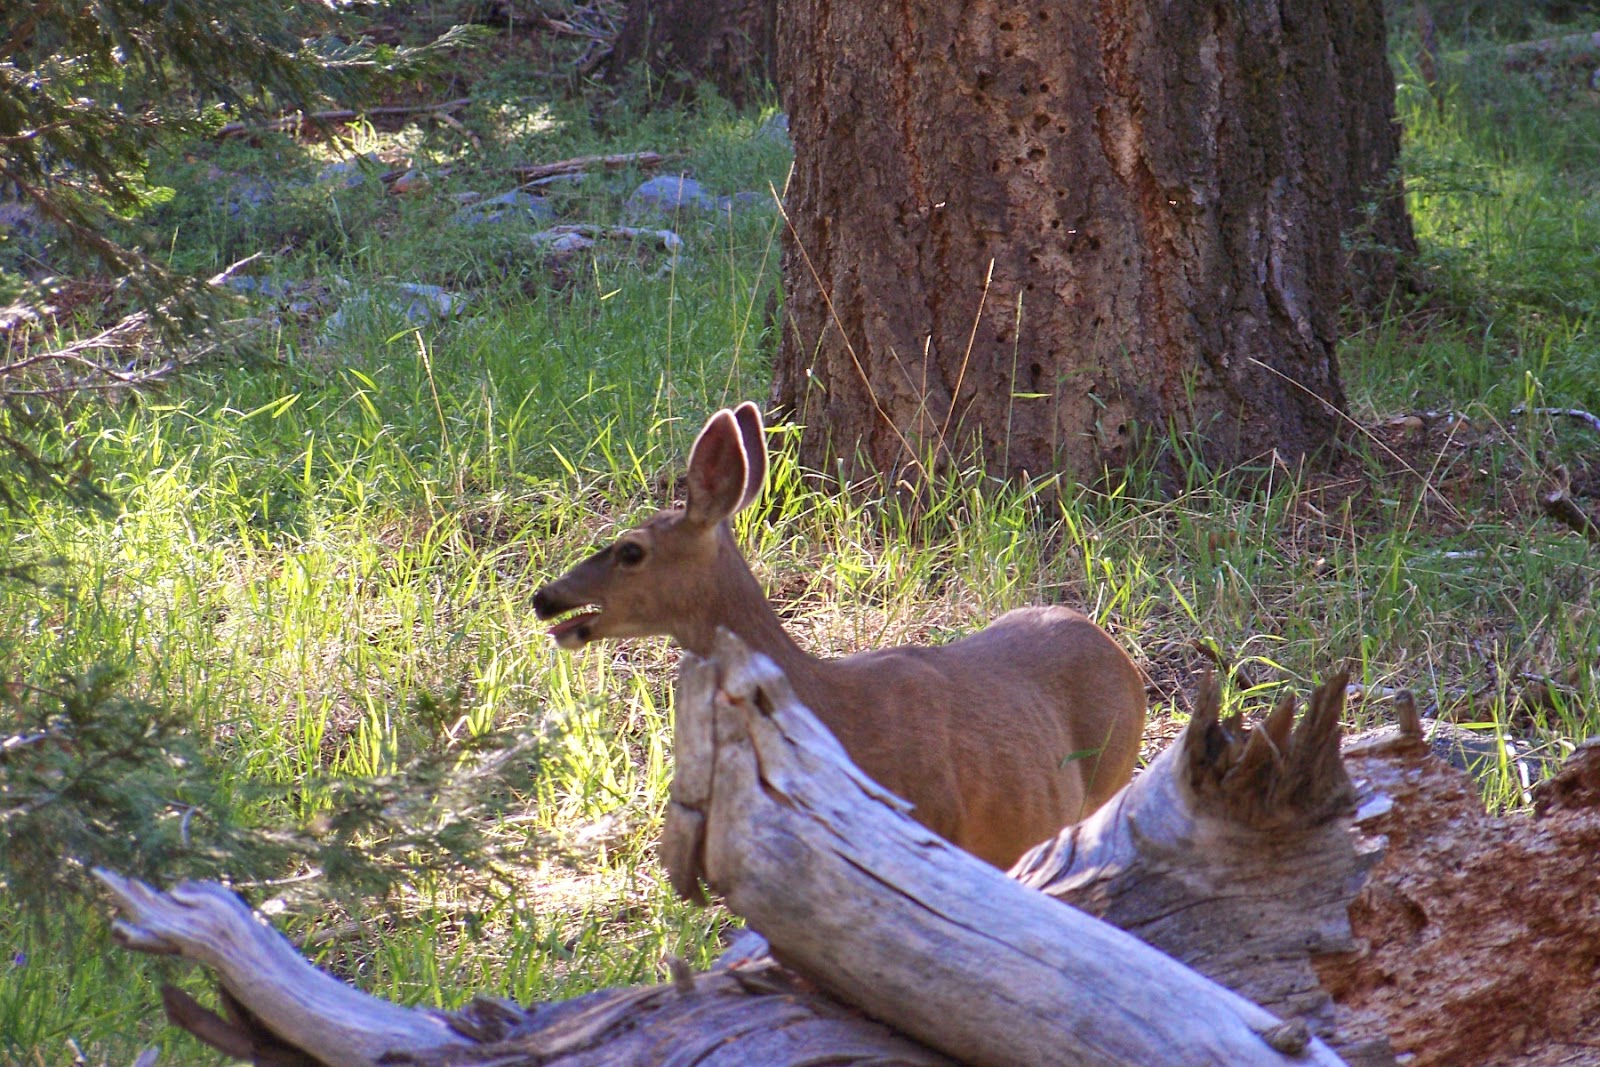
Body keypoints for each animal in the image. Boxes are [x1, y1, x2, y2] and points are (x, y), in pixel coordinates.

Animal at [533, 403, 1147, 868]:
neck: (833, 715)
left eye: (631, 551)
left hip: (1110, 778)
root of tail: (1118, 651)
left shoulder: (935, 822)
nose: (545, 597)